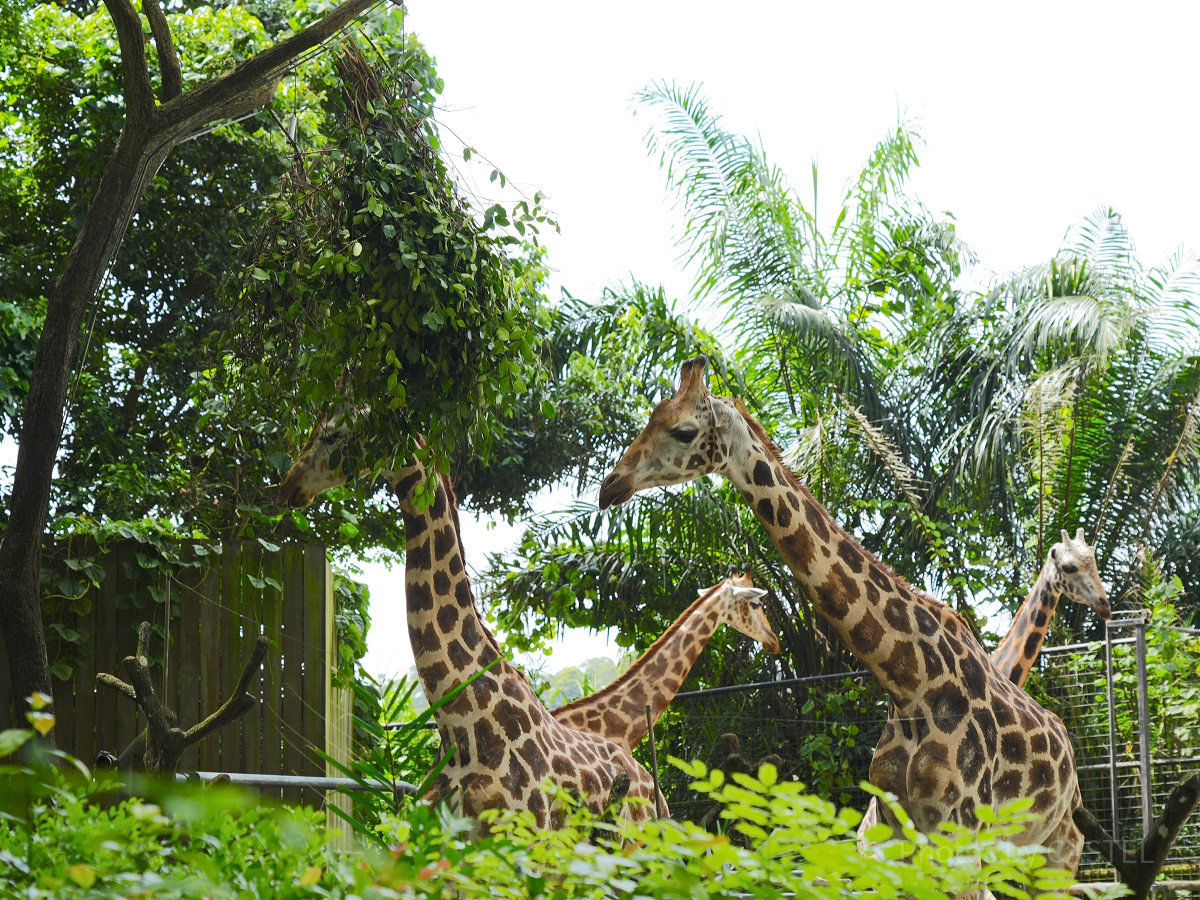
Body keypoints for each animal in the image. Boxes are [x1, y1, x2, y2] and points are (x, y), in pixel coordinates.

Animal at [597, 357, 1089, 873]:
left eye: (685, 431)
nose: (610, 487)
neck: (909, 683)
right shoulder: (898, 843)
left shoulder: (958, 836)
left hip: (1057, 849)